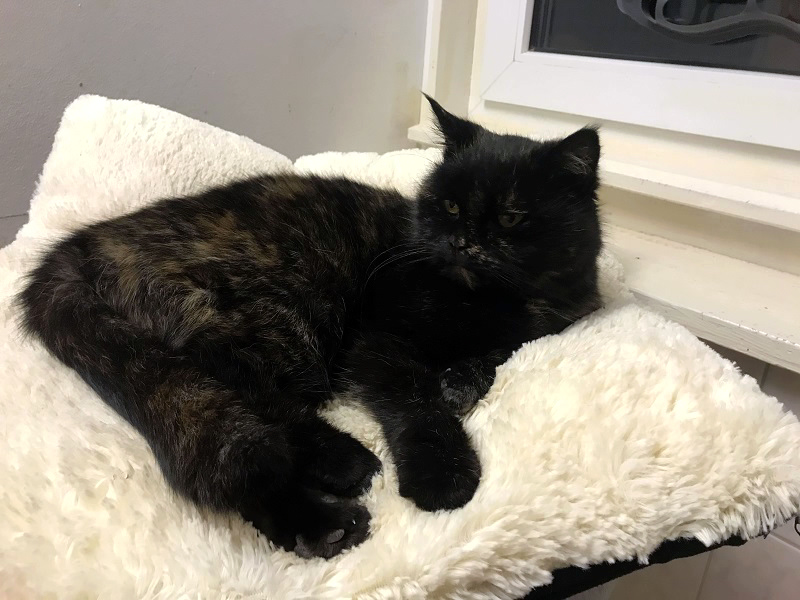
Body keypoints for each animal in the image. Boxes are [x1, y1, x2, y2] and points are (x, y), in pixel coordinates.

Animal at [18, 96, 602, 559]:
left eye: (511, 217)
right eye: (449, 205)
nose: (461, 242)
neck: (479, 302)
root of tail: (71, 253)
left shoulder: (553, 322)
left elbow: (497, 353)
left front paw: (462, 378)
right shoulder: (376, 342)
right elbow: (417, 402)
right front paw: (442, 475)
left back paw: (320, 530)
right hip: (271, 317)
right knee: (249, 406)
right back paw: (344, 471)